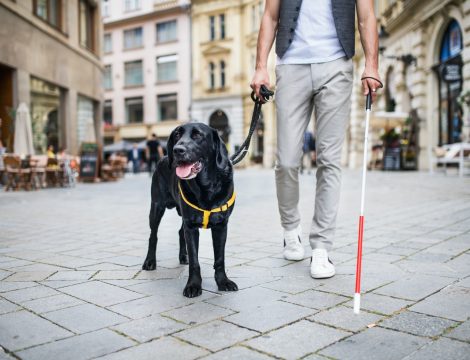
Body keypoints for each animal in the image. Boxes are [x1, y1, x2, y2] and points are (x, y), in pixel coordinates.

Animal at [142, 124, 239, 298]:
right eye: (176, 135)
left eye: (198, 135)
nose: (177, 150)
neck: (206, 186)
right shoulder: (192, 227)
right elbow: (195, 261)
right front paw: (193, 285)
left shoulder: (221, 226)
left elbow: (220, 258)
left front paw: (223, 281)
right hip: (156, 207)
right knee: (153, 236)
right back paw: (150, 261)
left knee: (181, 232)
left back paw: (183, 256)